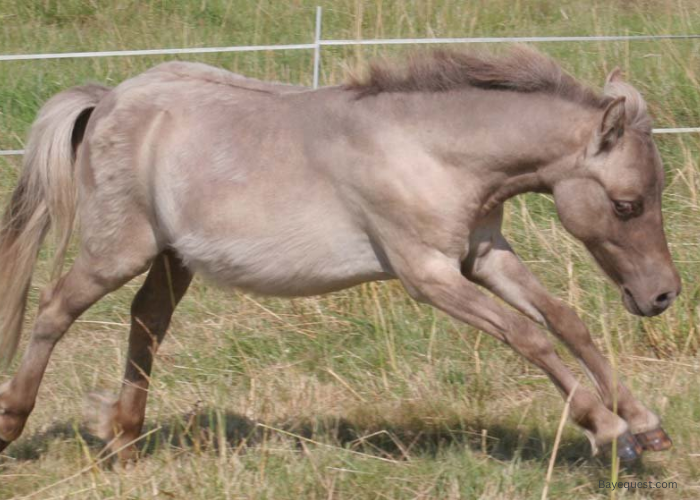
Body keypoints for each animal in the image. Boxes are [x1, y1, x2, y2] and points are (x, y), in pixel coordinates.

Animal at [0, 47, 680, 460]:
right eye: (626, 205)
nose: (662, 295)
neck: (427, 149)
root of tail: (109, 99)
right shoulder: (428, 276)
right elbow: (528, 335)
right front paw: (605, 426)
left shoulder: (483, 253)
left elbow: (565, 320)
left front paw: (645, 424)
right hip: (118, 250)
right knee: (54, 311)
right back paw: (14, 420)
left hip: (171, 258)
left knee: (146, 323)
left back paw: (124, 438)